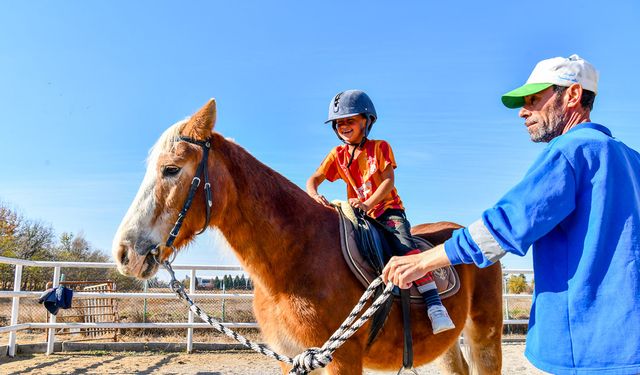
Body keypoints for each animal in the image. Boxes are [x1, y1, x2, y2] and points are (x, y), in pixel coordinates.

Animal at [112, 98, 502, 374]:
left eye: (171, 169)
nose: (124, 252)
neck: (297, 258)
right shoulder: (293, 359)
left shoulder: (341, 361)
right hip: (448, 346)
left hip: (484, 338)